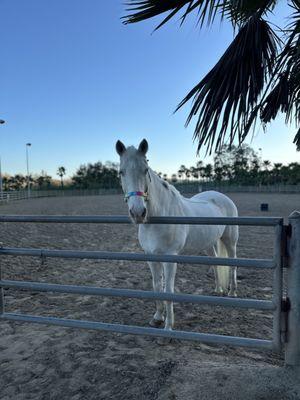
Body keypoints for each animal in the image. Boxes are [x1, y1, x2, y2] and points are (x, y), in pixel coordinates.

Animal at [115, 139, 239, 330]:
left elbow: (168, 290)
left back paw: (232, 292)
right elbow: (157, 286)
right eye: (121, 172)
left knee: (233, 264)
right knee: (216, 262)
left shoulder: (170, 258)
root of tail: (221, 197)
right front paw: (157, 318)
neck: (159, 218)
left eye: (145, 170)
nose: (138, 213)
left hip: (230, 240)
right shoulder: (151, 257)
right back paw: (218, 290)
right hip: (209, 243)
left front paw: (168, 326)